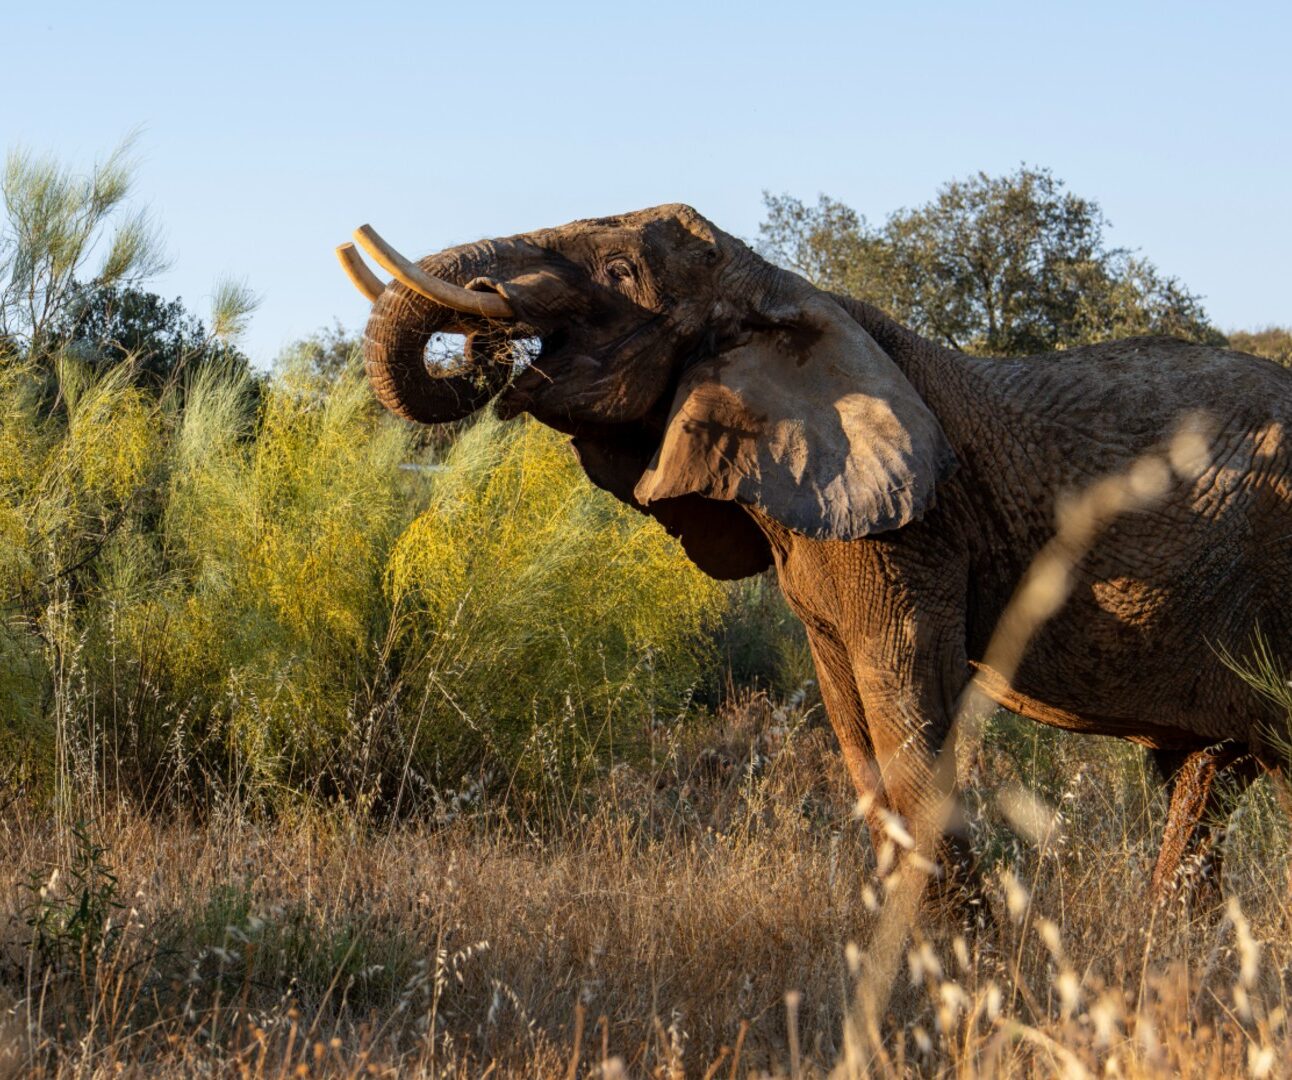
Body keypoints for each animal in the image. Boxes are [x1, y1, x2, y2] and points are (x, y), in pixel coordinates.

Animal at [336, 204, 1292, 904]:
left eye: (620, 275)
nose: (490, 332)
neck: (786, 292)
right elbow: (855, 732)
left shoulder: (913, 531)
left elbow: (908, 715)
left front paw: (957, 981)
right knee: (1207, 779)